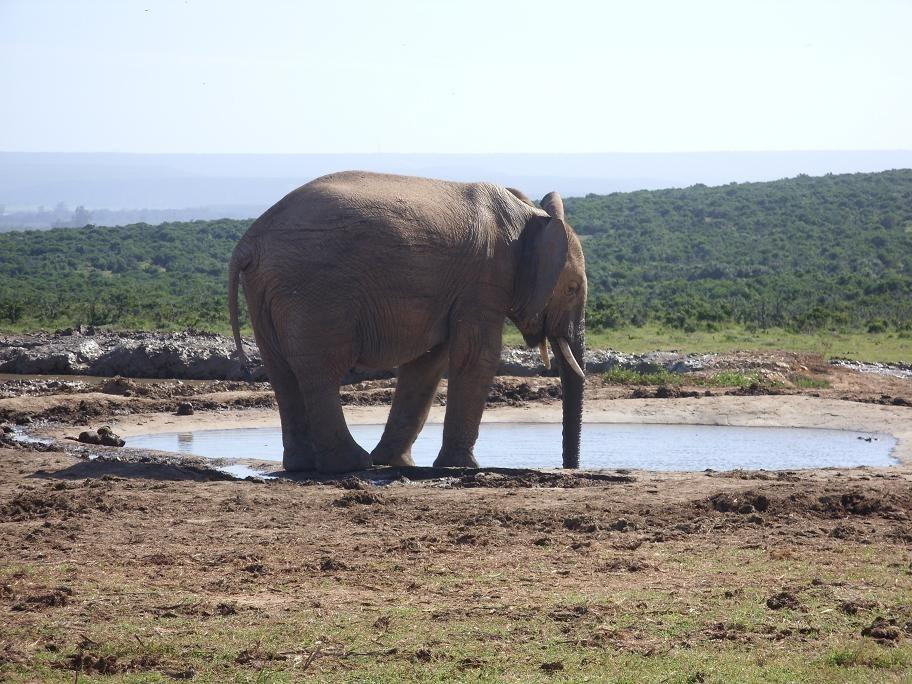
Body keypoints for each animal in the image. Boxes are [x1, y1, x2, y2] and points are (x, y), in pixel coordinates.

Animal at [228, 171, 587, 473]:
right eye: (572, 289)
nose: (568, 468)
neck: (530, 215)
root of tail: (249, 241)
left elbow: (428, 362)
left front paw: (398, 463)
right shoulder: (485, 278)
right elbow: (477, 356)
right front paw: (462, 467)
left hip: (265, 289)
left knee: (281, 371)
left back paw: (302, 466)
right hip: (314, 288)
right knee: (321, 369)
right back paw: (351, 465)